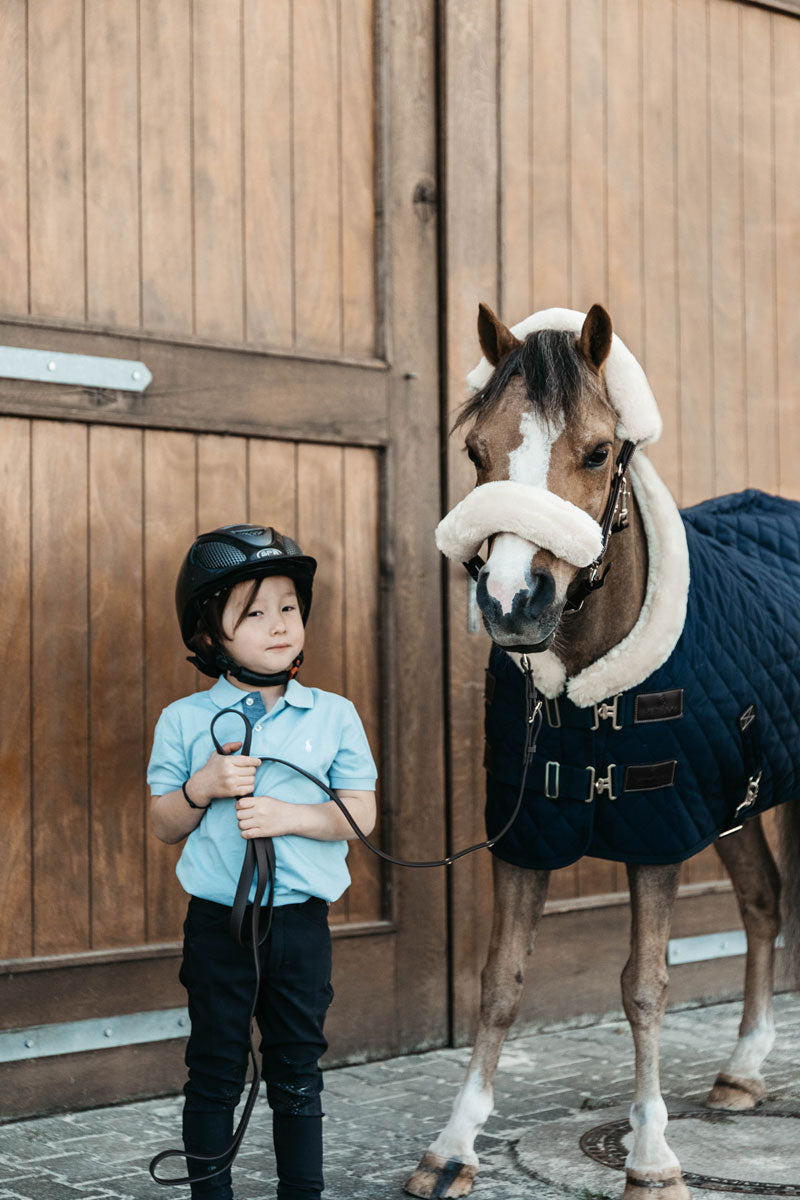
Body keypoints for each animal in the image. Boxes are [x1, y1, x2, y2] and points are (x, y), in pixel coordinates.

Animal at [404, 304, 800, 1200]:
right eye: (476, 451)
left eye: (596, 451)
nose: (514, 602)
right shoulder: (527, 831)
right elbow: (500, 984)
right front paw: (453, 1145)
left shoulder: (656, 830)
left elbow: (645, 988)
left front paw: (651, 1157)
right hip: (736, 799)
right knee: (764, 901)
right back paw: (742, 1070)